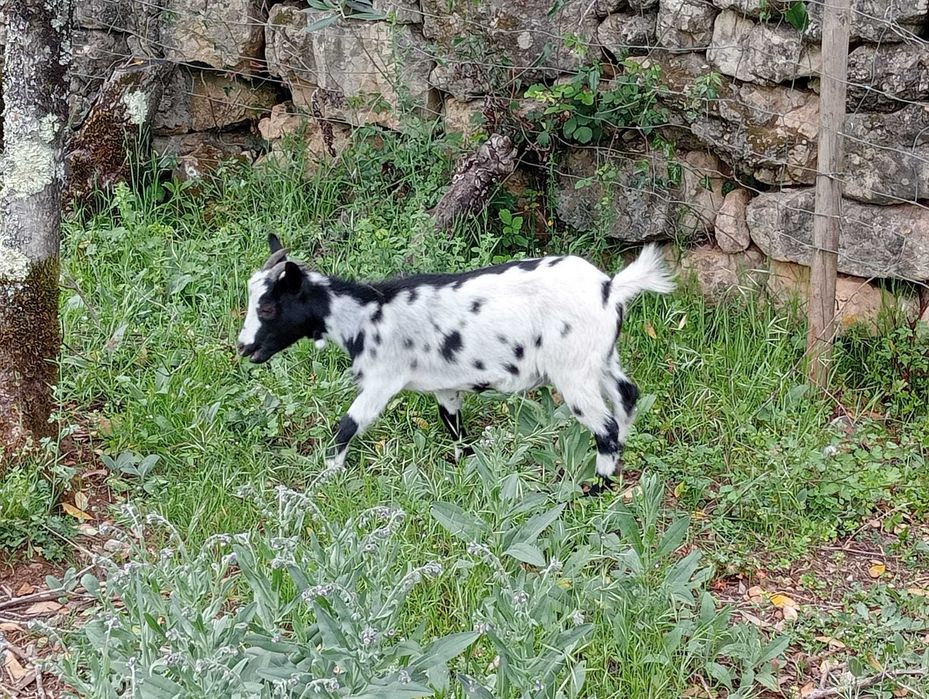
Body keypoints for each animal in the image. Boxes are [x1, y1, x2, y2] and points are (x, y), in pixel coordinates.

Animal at [237, 234, 675, 489]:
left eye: (269, 307)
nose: (243, 347)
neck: (368, 314)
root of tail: (610, 288)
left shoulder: (382, 379)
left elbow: (347, 426)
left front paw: (328, 475)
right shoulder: (445, 385)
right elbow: (455, 428)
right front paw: (464, 469)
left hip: (574, 372)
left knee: (606, 426)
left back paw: (597, 488)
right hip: (601, 358)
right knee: (627, 396)